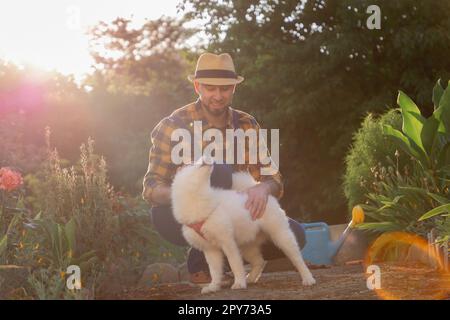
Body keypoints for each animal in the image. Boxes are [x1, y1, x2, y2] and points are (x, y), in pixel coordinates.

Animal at [171, 162, 314, 296]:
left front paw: (239, 283)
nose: (209, 159)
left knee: (297, 258)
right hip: (247, 246)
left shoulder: (227, 242)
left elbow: (235, 264)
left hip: (281, 236)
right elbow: (214, 271)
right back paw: (250, 278)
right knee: (259, 261)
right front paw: (213, 286)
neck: (198, 199)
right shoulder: (210, 249)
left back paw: (308, 278)